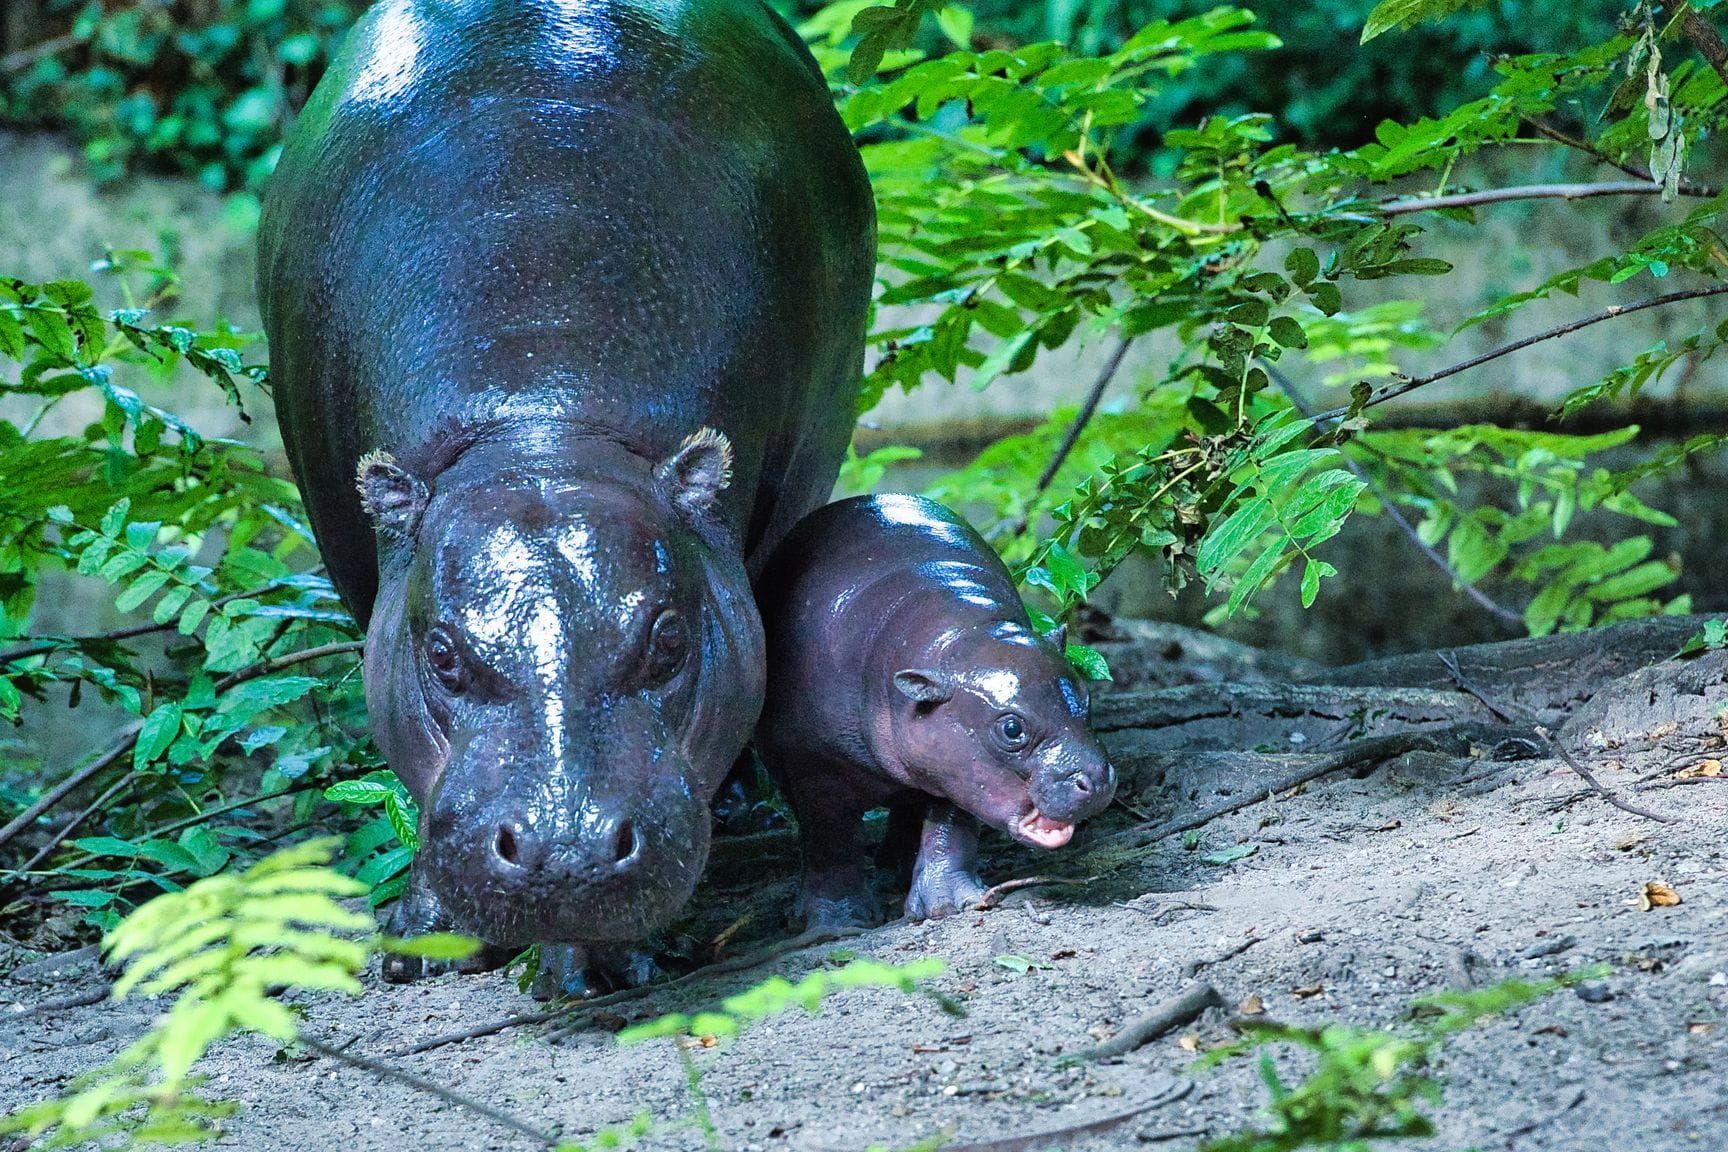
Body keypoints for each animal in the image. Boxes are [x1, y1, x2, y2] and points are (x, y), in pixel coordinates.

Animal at [252, 0, 877, 994]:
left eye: (669, 639)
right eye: (443, 657)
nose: (567, 852)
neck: (542, 424)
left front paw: (600, 966)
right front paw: (419, 943)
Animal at [749, 493, 1112, 925]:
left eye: (1085, 698)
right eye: (1011, 729)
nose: (1098, 779)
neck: (958, 637)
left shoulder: (955, 765)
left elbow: (950, 824)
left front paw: (950, 905)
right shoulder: (814, 766)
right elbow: (829, 838)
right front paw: (838, 922)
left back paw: (899, 868)